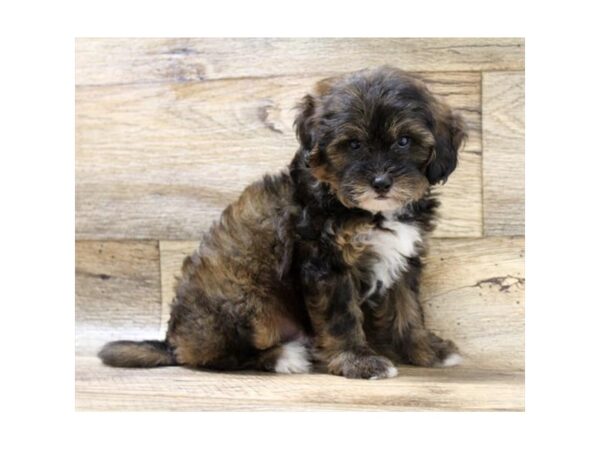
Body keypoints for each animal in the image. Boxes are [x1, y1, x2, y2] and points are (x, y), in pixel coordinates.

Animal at [98, 65, 466, 378]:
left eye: (404, 141)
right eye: (353, 144)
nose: (380, 183)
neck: (369, 212)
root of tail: (172, 342)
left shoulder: (404, 258)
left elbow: (409, 309)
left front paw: (427, 350)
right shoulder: (326, 263)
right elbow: (342, 318)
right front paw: (359, 361)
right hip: (245, 299)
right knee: (219, 356)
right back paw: (284, 357)